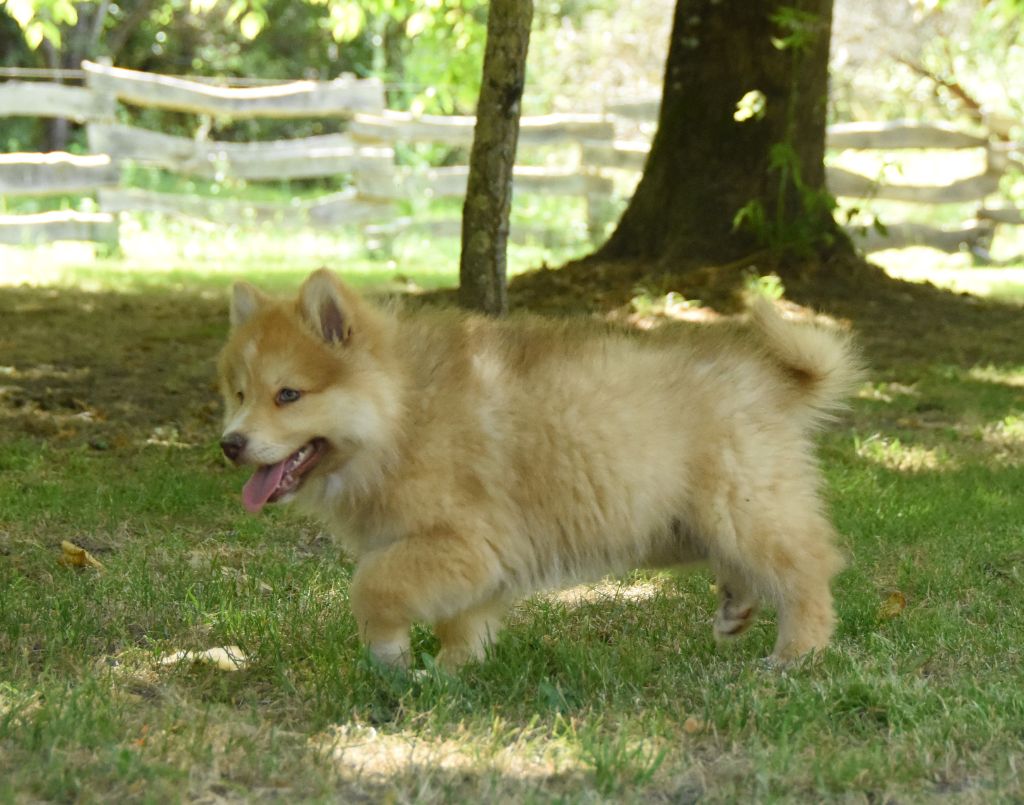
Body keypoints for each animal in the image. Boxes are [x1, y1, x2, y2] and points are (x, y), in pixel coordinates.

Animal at [218, 268, 861, 669]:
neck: (401, 413)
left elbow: (372, 587)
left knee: (806, 570)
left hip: (741, 508)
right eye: (238, 394)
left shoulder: (462, 544)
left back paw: (796, 654)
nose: (230, 444)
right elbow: (460, 621)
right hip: (683, 522)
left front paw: (389, 656)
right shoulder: (470, 563)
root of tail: (773, 382)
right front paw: (450, 671)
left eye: (288, 396)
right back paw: (737, 608)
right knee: (752, 565)